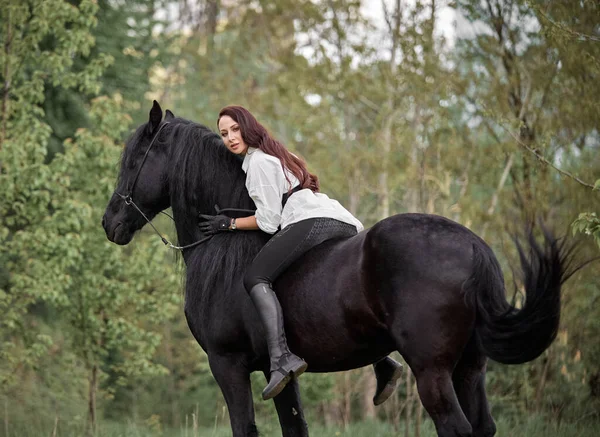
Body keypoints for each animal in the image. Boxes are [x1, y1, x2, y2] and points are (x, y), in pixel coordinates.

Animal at [103, 102, 572, 436]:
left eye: (135, 160)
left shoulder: (228, 365)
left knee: (455, 427)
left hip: (433, 370)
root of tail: (473, 247)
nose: (110, 223)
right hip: (470, 368)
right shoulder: (278, 376)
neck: (224, 247)